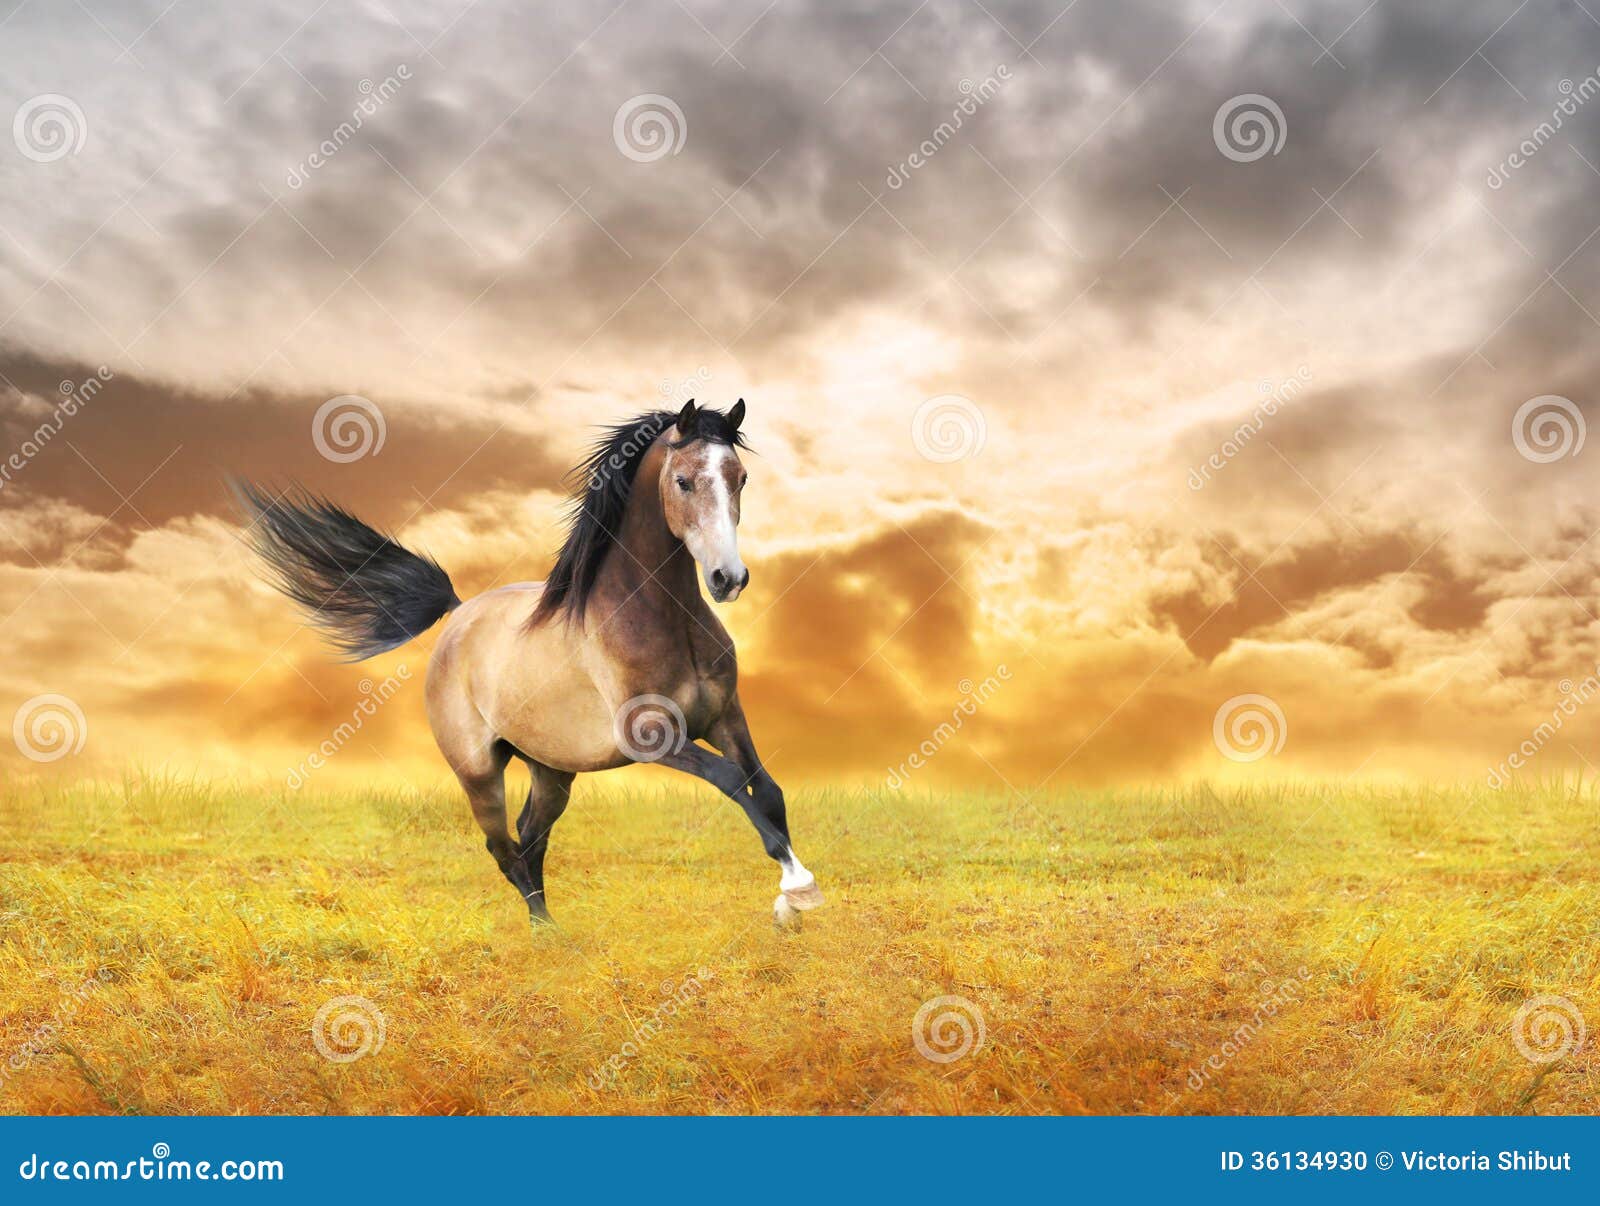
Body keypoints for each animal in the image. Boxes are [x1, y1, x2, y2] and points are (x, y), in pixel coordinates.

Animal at [236, 399, 823, 930]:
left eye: (740, 477)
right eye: (683, 481)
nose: (729, 579)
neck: (660, 619)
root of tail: (457, 614)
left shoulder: (726, 716)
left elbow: (768, 790)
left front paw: (788, 903)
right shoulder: (652, 735)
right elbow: (731, 779)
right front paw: (800, 887)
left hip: (552, 767)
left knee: (530, 835)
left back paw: (549, 926)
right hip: (478, 772)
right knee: (503, 847)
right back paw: (546, 935)